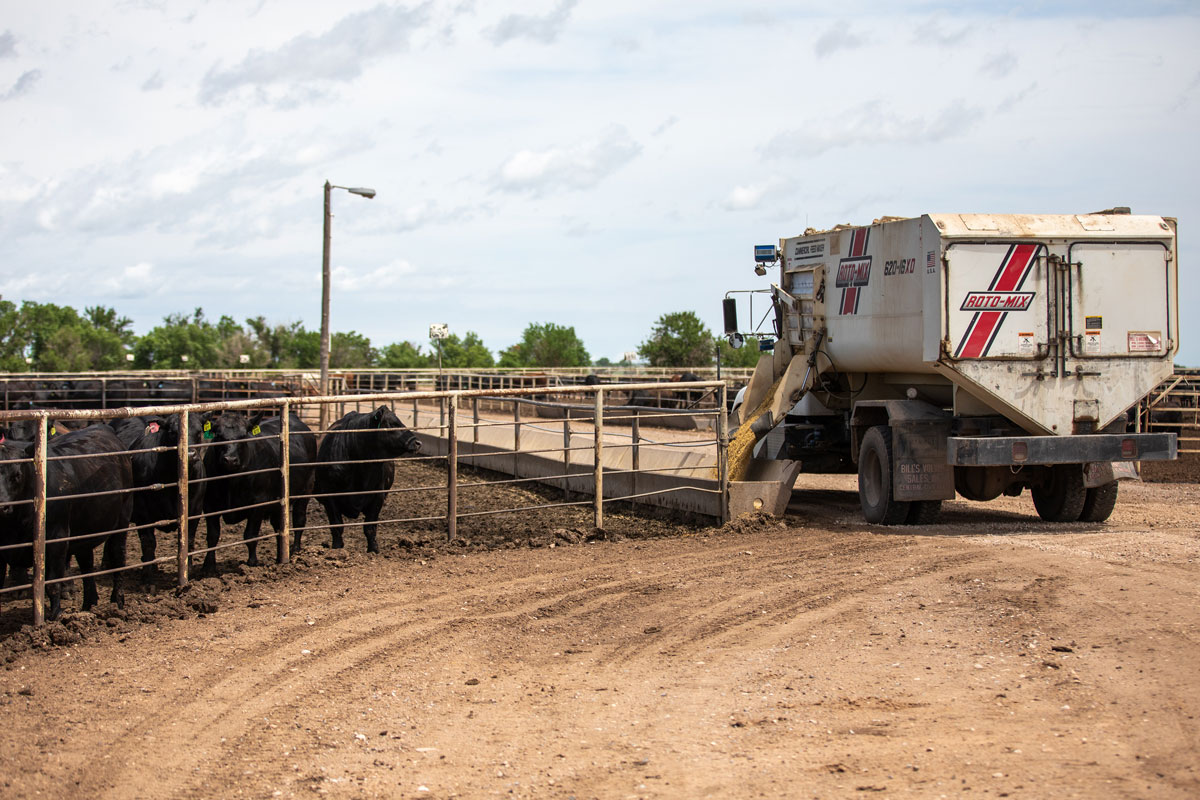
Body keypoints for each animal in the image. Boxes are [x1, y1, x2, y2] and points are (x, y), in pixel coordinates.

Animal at [0, 424, 131, 618]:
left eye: (16, 475)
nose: (2, 507)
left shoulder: (57, 539)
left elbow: (53, 582)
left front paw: (55, 616)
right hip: (84, 531)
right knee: (86, 564)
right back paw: (89, 604)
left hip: (122, 520)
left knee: (118, 557)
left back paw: (117, 601)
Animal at [201, 410, 316, 573]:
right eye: (218, 434)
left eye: (244, 435)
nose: (230, 459)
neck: (231, 482)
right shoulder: (210, 505)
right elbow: (213, 535)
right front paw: (208, 566)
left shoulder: (258, 504)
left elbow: (250, 535)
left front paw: (252, 563)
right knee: (279, 527)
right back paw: (280, 556)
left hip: (306, 489)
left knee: (299, 520)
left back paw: (295, 549)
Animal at [309, 410, 422, 554]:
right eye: (392, 424)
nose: (417, 443)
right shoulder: (329, 496)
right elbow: (337, 526)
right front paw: (337, 548)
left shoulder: (378, 496)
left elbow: (370, 527)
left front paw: (373, 549)